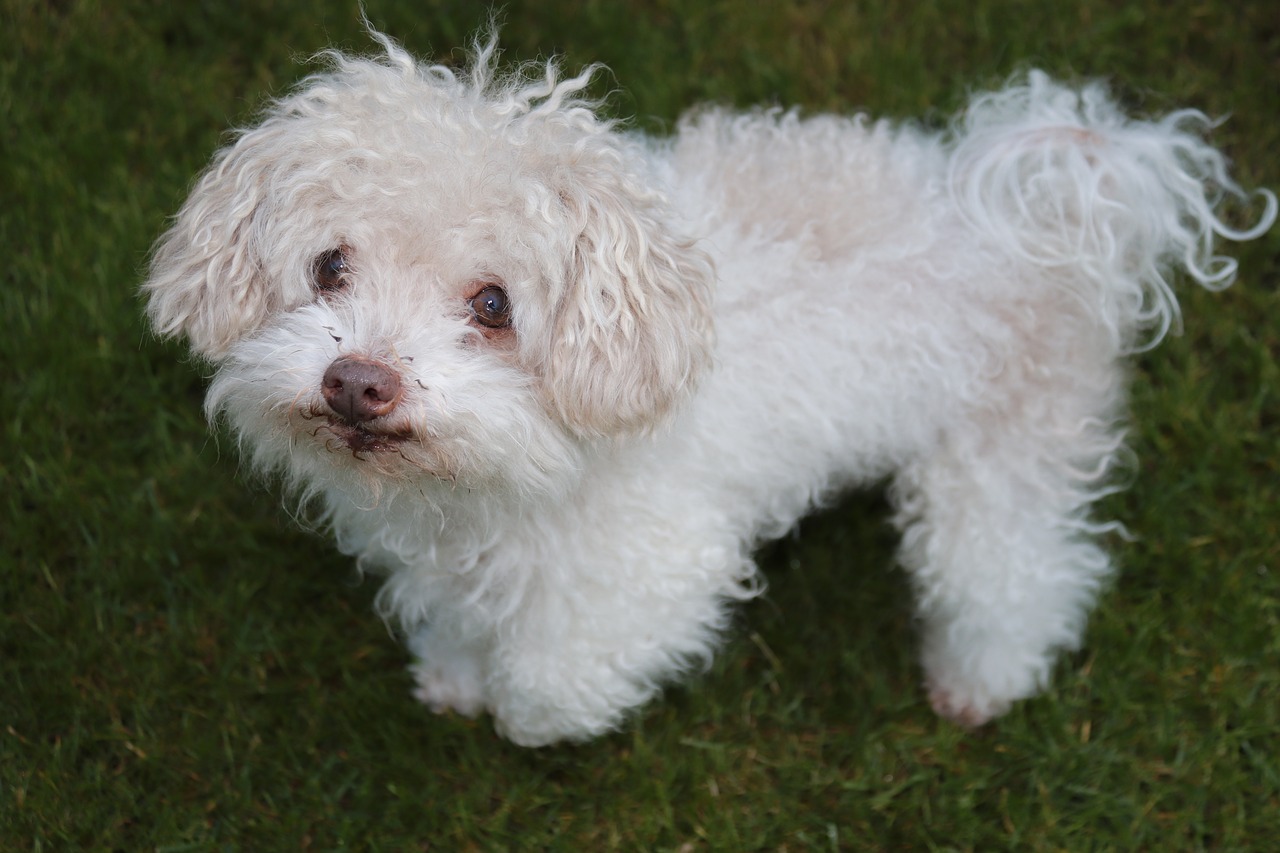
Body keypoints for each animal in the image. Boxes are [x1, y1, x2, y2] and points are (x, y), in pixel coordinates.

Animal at [142, 29, 1269, 742]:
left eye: (495, 303)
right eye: (330, 266)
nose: (357, 382)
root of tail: (1063, 195)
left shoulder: (652, 564)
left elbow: (554, 682)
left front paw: (517, 711)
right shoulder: (452, 550)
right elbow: (462, 621)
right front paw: (456, 675)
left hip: (1000, 457)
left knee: (1023, 574)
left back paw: (977, 679)